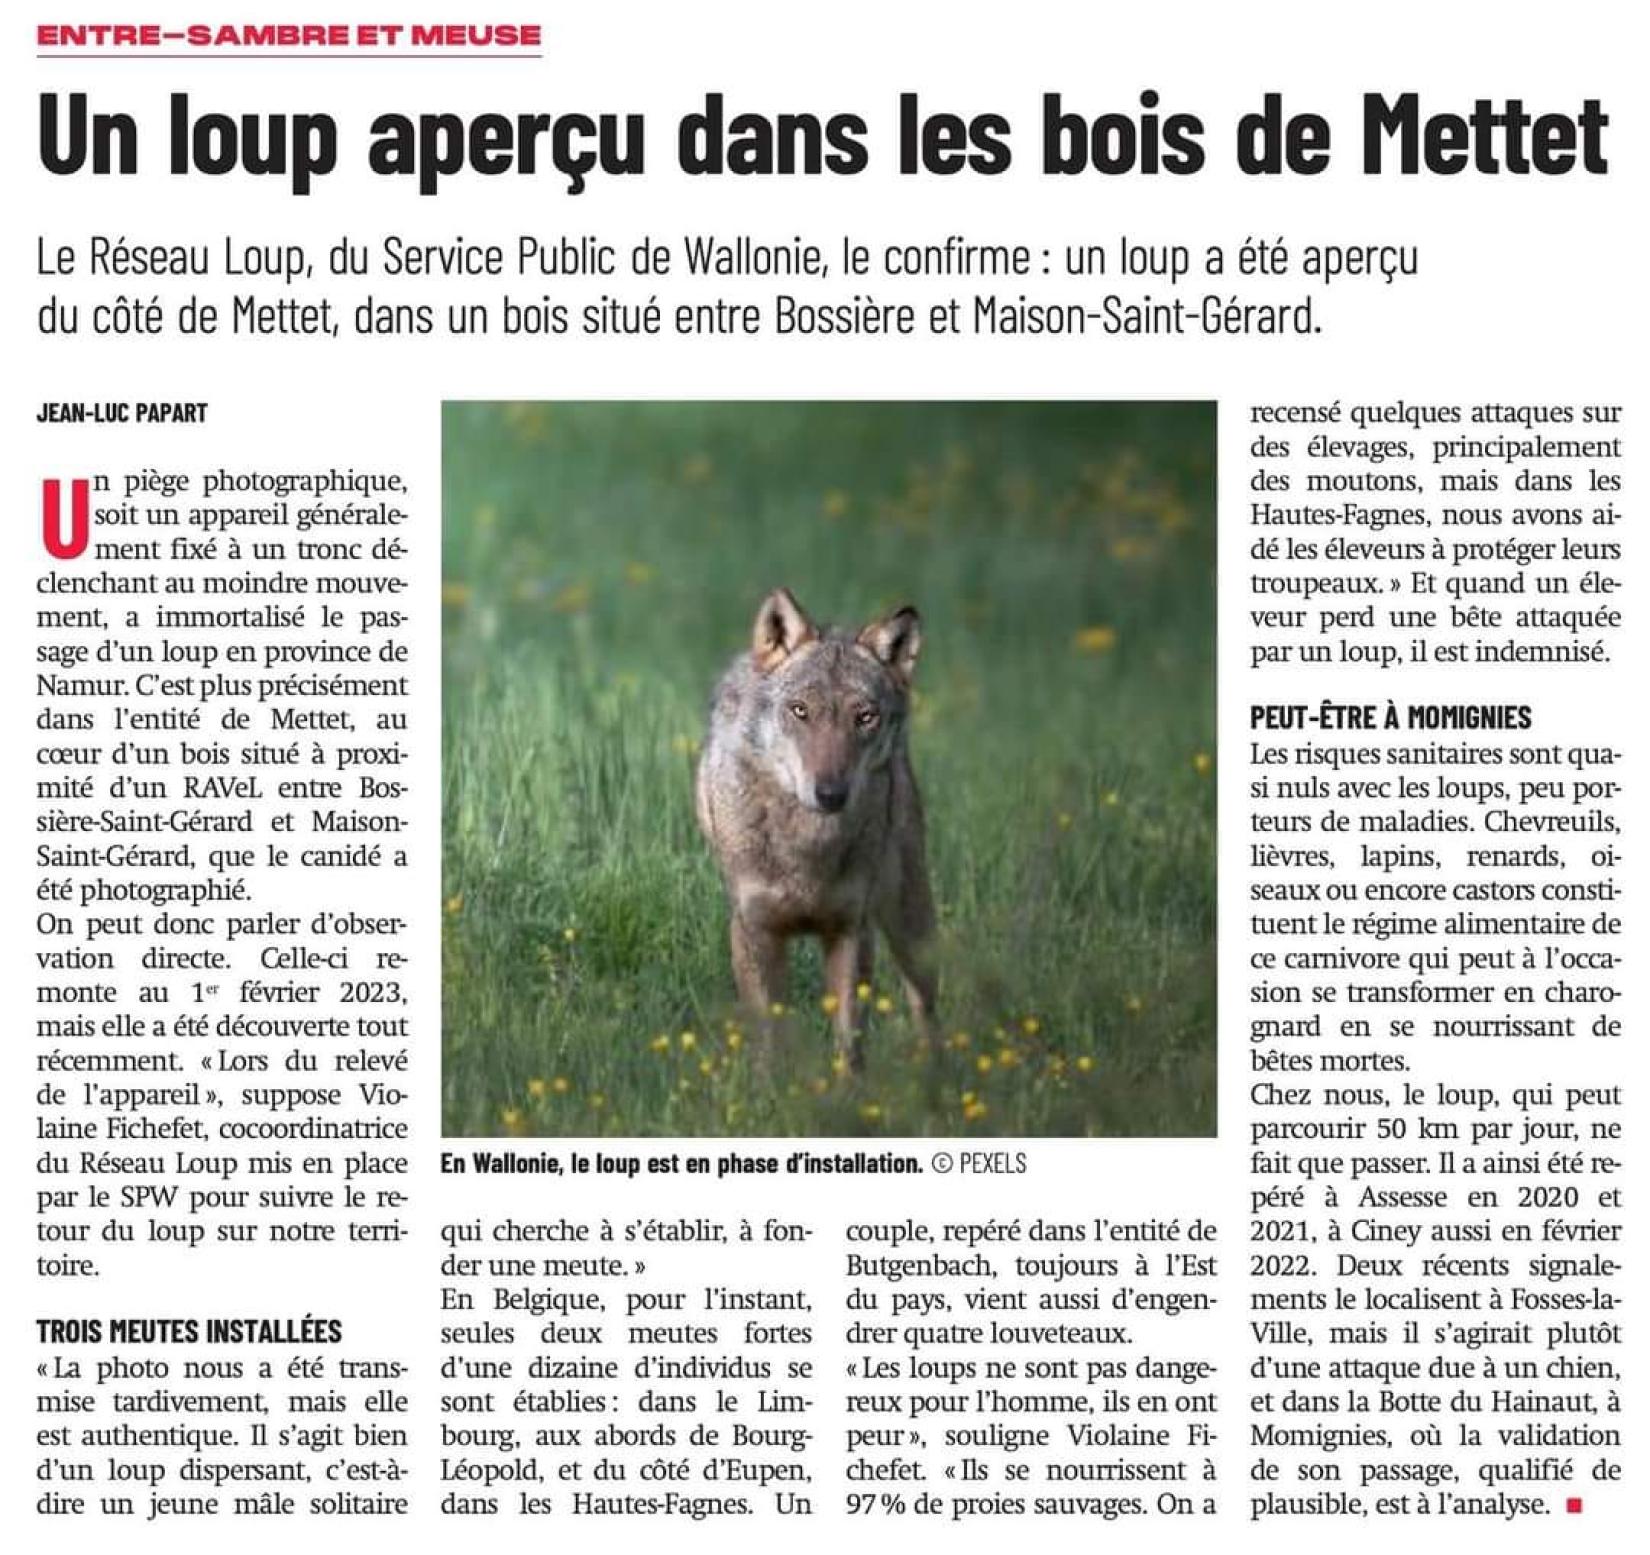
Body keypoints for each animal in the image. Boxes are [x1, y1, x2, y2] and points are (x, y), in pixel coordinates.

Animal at [696, 588, 938, 1067]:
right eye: (800, 711)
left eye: (865, 717)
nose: (830, 794)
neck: (806, 853)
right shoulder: (755, 931)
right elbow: (771, 1040)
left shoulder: (851, 931)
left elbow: (850, 1045)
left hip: (909, 922)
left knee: (926, 1008)